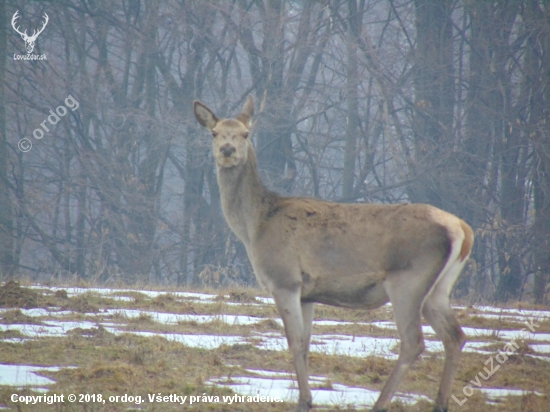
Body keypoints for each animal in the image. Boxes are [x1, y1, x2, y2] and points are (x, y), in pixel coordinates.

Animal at [194, 95, 474, 410]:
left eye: (245, 133)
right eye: (214, 133)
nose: (227, 150)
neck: (255, 227)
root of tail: (463, 230)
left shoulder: (284, 280)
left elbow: (294, 343)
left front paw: (305, 401)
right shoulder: (307, 293)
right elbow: (305, 345)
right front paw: (306, 398)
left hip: (408, 280)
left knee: (414, 341)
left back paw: (380, 403)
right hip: (439, 287)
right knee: (455, 336)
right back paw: (440, 403)